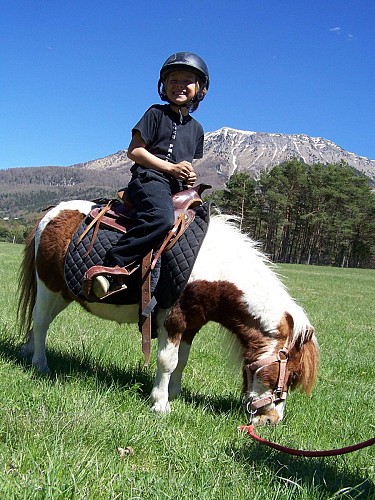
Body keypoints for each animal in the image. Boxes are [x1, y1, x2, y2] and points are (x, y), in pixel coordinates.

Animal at [16, 199, 318, 426]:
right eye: (292, 375)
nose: (271, 421)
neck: (214, 266)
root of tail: (51, 213)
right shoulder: (172, 319)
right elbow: (166, 361)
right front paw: (160, 403)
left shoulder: (191, 324)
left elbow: (181, 361)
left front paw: (174, 394)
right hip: (49, 287)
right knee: (40, 323)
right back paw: (40, 364)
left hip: (63, 294)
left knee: (39, 323)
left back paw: (29, 351)